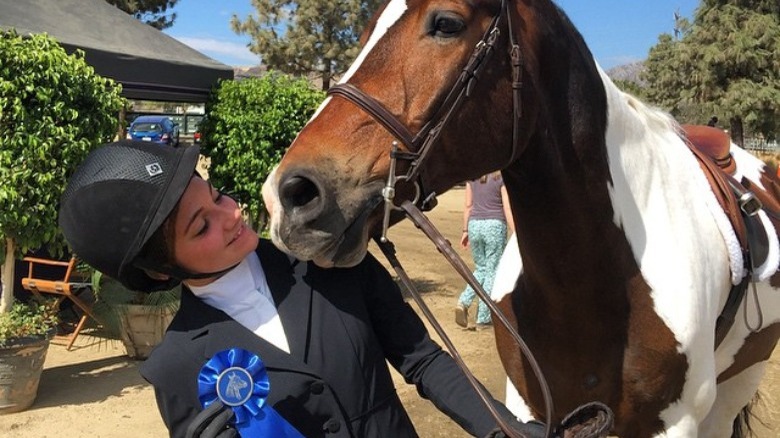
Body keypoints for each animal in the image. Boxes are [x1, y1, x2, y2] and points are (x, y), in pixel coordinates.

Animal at [260, 1, 780, 436]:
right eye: (366, 32)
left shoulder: (675, 422)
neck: (592, 291)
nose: (289, 194)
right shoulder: (531, 407)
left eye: (446, 23)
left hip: (738, 382)